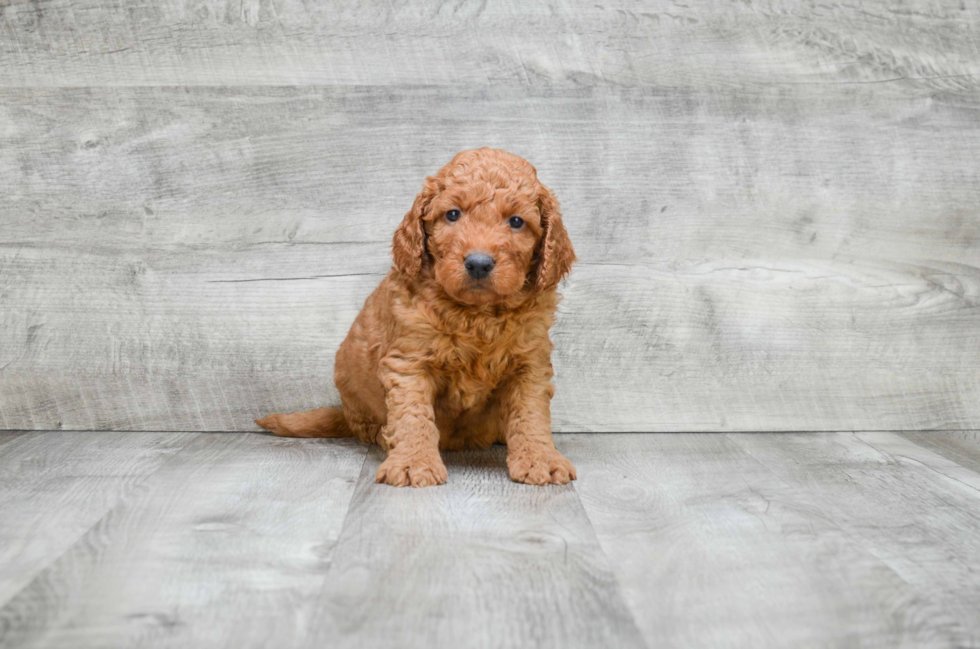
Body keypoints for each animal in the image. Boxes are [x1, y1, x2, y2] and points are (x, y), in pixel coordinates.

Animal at [256, 147, 580, 486]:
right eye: (452, 214)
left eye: (516, 221)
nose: (478, 263)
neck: (476, 314)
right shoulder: (409, 362)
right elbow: (412, 416)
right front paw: (413, 463)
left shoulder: (529, 364)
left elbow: (530, 414)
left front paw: (540, 458)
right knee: (369, 428)